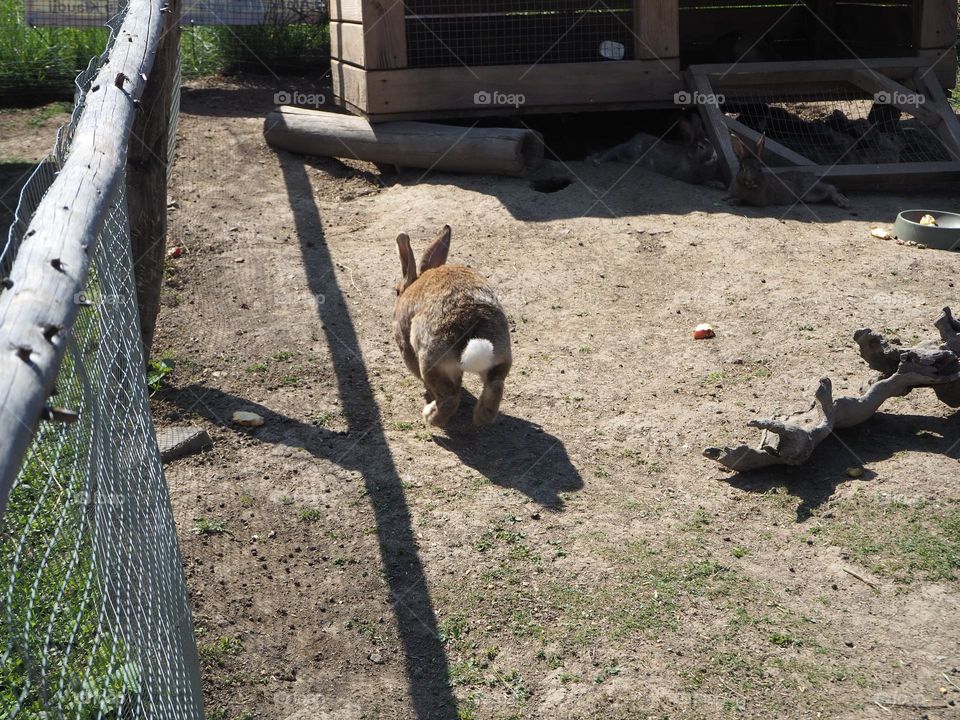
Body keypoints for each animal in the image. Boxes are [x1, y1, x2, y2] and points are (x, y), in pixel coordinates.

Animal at [394, 225, 512, 428]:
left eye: (396, 291)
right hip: (501, 356)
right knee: (495, 386)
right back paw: (480, 417)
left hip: (430, 360)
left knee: (450, 397)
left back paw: (430, 416)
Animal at [588, 115, 719, 185]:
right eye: (701, 147)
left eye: (712, 144)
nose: (714, 157)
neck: (691, 158)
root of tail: (634, 139)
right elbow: (702, 182)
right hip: (631, 154)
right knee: (615, 150)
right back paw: (597, 161)